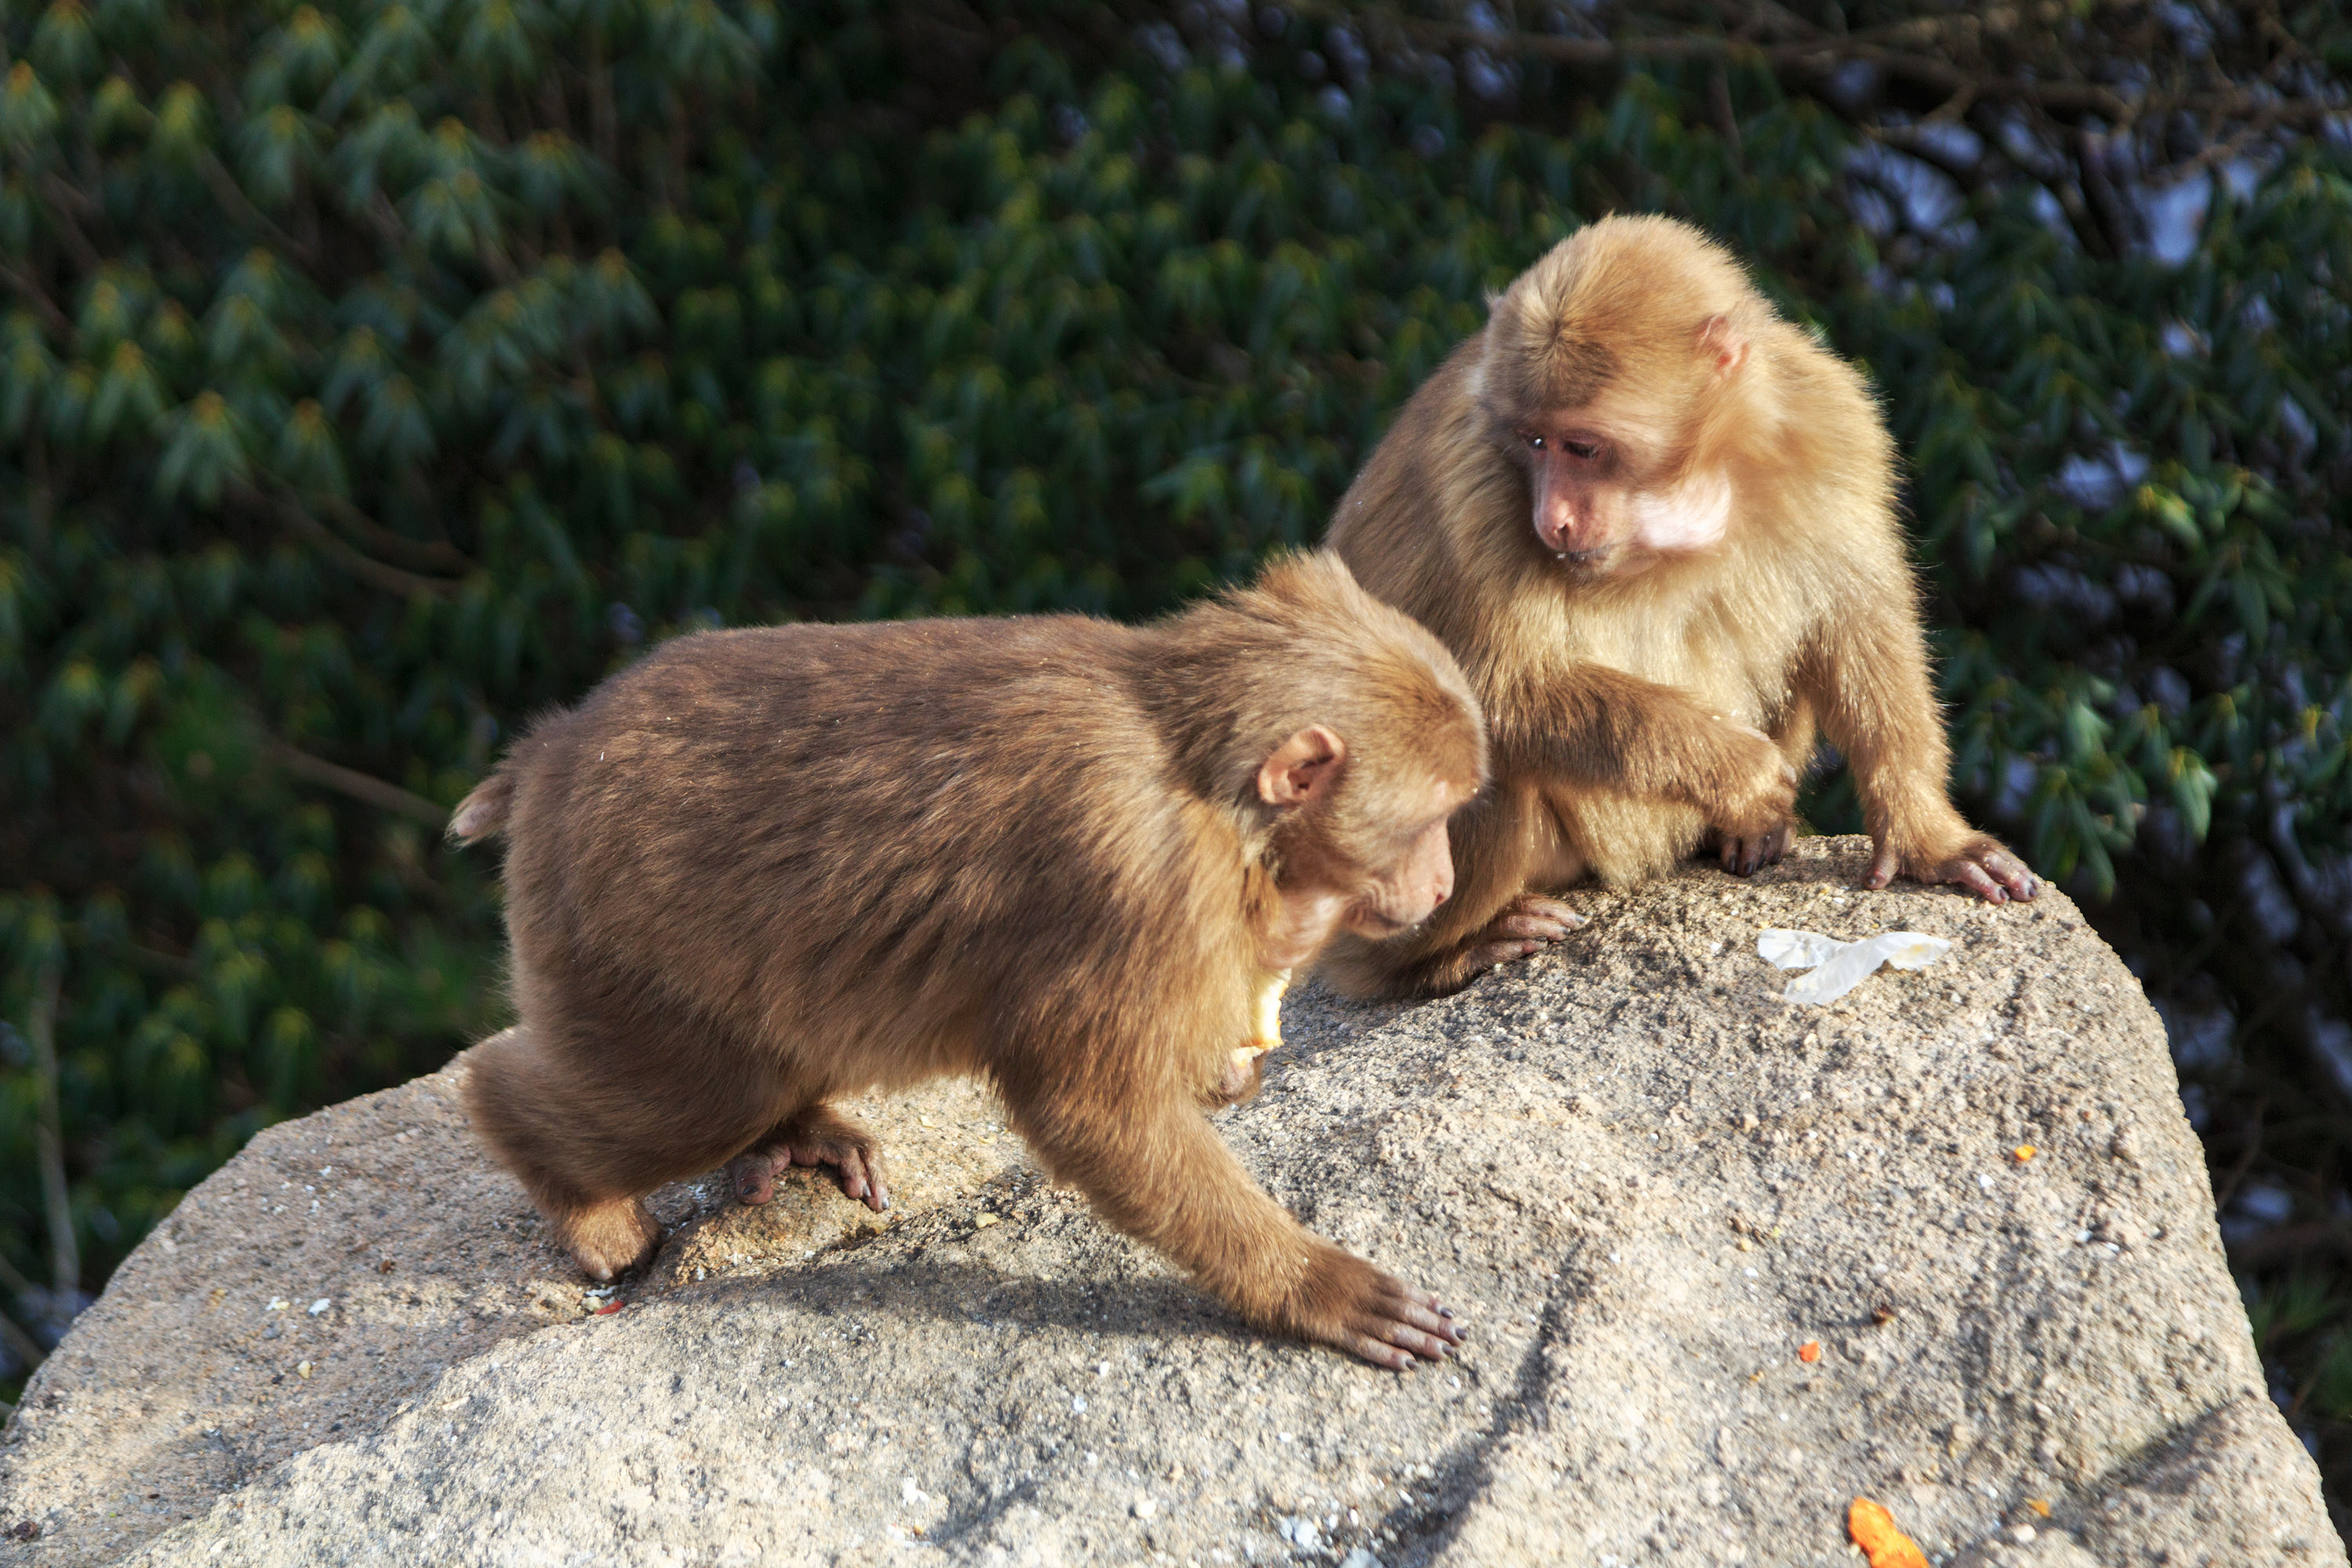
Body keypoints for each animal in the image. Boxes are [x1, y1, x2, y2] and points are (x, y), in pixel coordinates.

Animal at [454, 557, 1486, 1363]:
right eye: (1429, 819)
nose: (1442, 882)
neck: (1201, 779)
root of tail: (550, 750)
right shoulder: (1140, 884)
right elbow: (1088, 1109)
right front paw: (1314, 1285)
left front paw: (1232, 1061)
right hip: (604, 934)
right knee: (680, 1098)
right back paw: (571, 1185)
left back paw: (795, 1129)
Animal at [1336, 211, 2032, 992]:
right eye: (1534, 441)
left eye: (1582, 447)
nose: (1553, 519)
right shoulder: (1477, 473)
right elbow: (1486, 689)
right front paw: (1739, 771)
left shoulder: (1834, 425)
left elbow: (1856, 619)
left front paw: (1926, 838)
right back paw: (1438, 959)